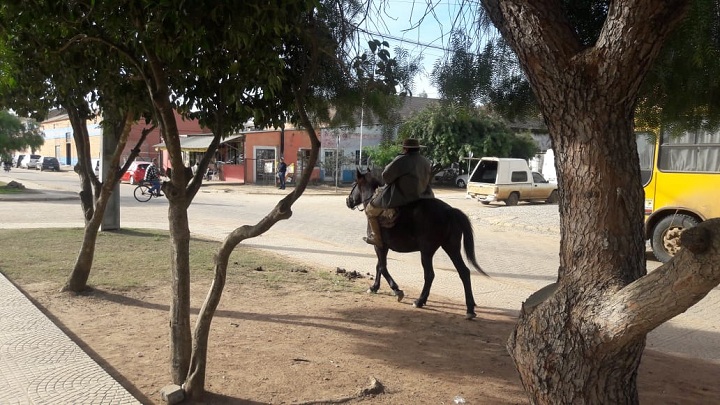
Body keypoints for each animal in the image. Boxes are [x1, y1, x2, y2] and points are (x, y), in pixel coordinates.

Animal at [344, 168, 490, 318]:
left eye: (353, 184)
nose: (348, 201)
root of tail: (450, 211)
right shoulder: (382, 247)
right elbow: (379, 266)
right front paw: (374, 287)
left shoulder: (379, 246)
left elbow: (382, 267)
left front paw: (397, 290)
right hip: (451, 248)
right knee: (464, 272)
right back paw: (470, 309)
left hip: (427, 251)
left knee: (430, 275)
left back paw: (420, 301)